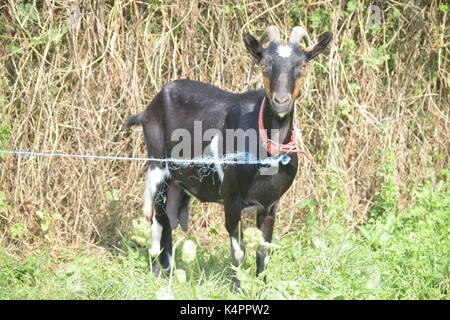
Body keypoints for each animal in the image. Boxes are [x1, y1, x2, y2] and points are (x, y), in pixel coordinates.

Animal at [125, 26, 330, 288]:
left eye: (302, 65)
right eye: (264, 63)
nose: (281, 101)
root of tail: (149, 108)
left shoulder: (270, 204)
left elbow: (264, 251)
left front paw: (262, 288)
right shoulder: (232, 198)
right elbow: (239, 250)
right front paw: (239, 288)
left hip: (178, 184)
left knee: (168, 220)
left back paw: (170, 273)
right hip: (158, 168)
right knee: (157, 222)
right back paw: (158, 275)